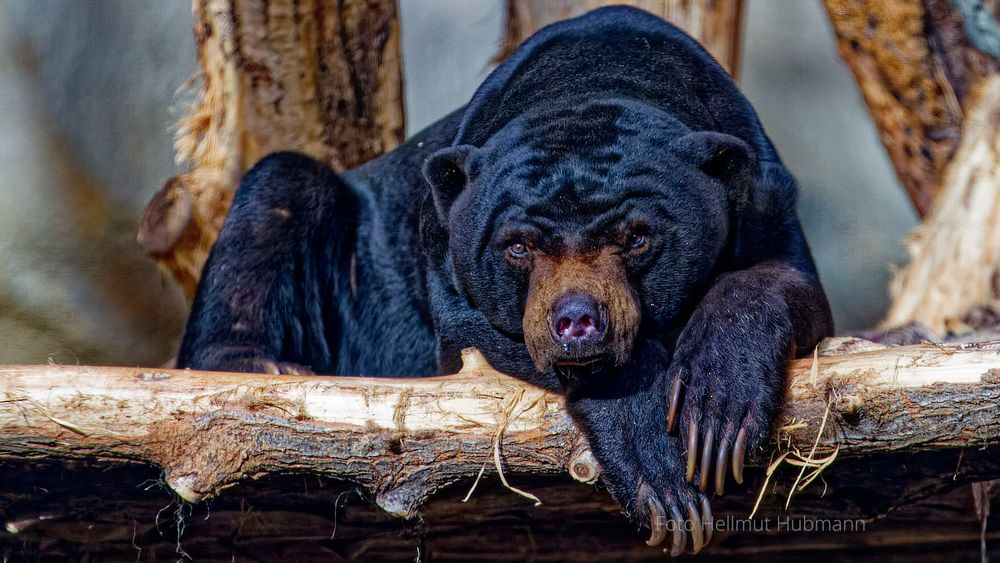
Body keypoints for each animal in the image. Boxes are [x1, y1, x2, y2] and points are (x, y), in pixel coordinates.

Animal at [176, 6, 832, 556]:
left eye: (636, 237)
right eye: (518, 245)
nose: (576, 320)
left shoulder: (764, 194)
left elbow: (783, 284)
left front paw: (716, 414)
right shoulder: (442, 250)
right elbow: (478, 339)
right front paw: (666, 483)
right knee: (281, 185)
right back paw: (264, 363)